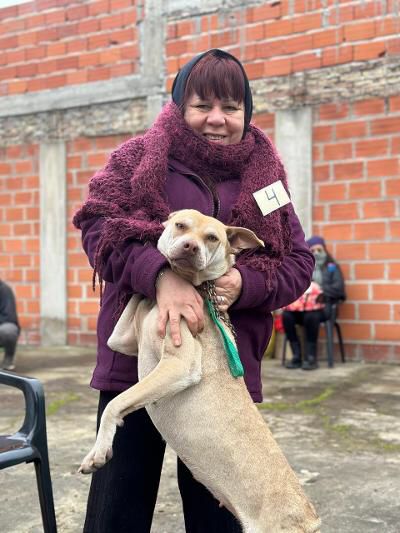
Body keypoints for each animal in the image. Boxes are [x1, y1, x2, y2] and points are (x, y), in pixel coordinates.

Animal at [79, 209, 320, 532]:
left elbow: (115, 404)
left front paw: (98, 452)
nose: (190, 247)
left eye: (212, 238)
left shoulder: (181, 365)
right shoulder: (121, 339)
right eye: (181, 225)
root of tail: (310, 518)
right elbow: (134, 300)